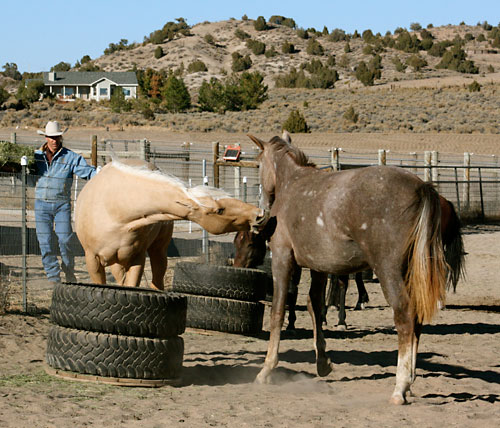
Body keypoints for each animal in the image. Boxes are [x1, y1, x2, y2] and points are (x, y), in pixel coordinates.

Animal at [74, 159, 268, 290]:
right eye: (219, 210)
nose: (259, 215)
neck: (114, 209)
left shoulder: (137, 259)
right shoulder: (93, 261)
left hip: (157, 251)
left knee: (157, 280)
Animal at [248, 134, 462, 404]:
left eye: (258, 164)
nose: (260, 215)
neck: (293, 184)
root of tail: (421, 187)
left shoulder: (282, 259)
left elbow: (278, 312)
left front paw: (266, 370)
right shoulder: (319, 266)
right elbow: (314, 306)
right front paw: (323, 363)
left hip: (388, 271)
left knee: (405, 315)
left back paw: (400, 387)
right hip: (411, 274)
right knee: (417, 320)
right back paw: (410, 382)